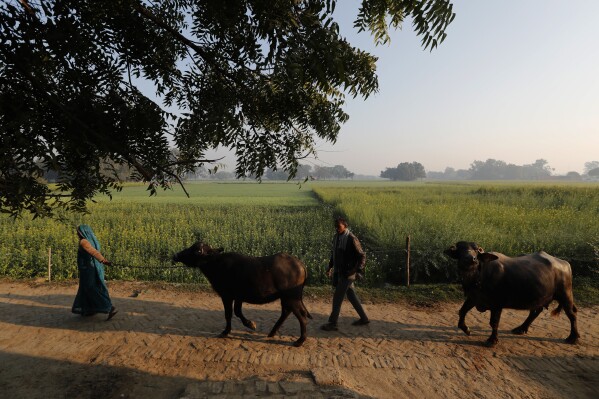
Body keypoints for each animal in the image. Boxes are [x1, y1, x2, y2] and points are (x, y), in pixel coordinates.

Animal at [172, 242, 312, 348]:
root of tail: (300, 264)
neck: (216, 265)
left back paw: (299, 341)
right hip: (287, 298)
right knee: (287, 312)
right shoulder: (238, 297)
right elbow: (238, 312)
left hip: (291, 298)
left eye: (197, 250)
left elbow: (229, 314)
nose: (175, 255)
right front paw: (250, 324)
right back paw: (272, 333)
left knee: (301, 316)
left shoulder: (227, 296)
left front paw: (226, 331)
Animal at [446, 241, 580, 346]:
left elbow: (494, 322)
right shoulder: (474, 297)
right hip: (539, 297)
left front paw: (492, 340)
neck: (478, 276)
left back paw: (573, 338)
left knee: (572, 314)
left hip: (565, 294)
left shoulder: (497, 304)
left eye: (476, 251)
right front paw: (466, 329)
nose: (470, 259)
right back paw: (521, 328)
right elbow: (462, 311)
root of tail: (565, 264)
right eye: (460, 249)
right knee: (535, 311)